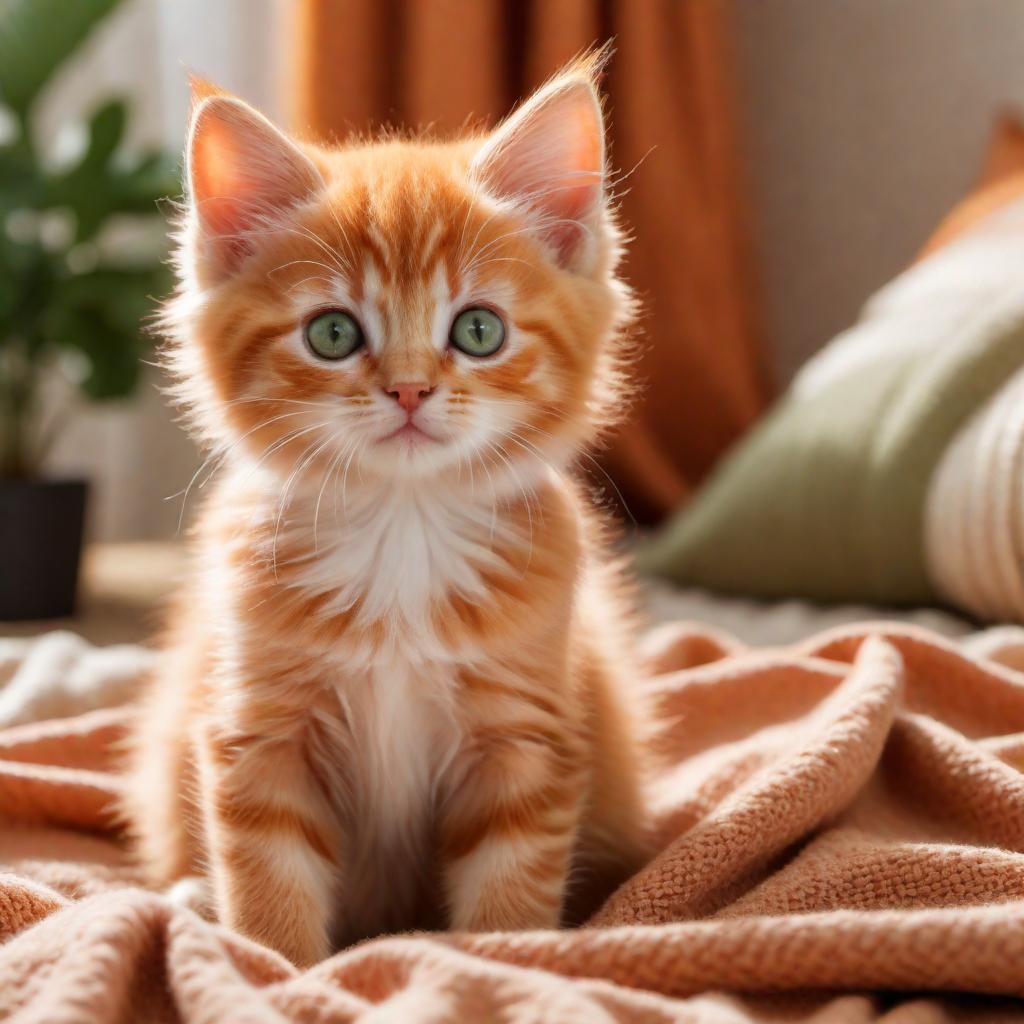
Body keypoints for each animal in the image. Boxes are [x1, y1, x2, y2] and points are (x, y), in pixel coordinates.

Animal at [121, 58, 647, 966]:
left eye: (479, 330)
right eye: (333, 334)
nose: (408, 390)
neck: (403, 531)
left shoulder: (525, 735)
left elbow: (508, 892)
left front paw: (504, 964)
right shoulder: (259, 732)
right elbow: (268, 879)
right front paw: (278, 971)